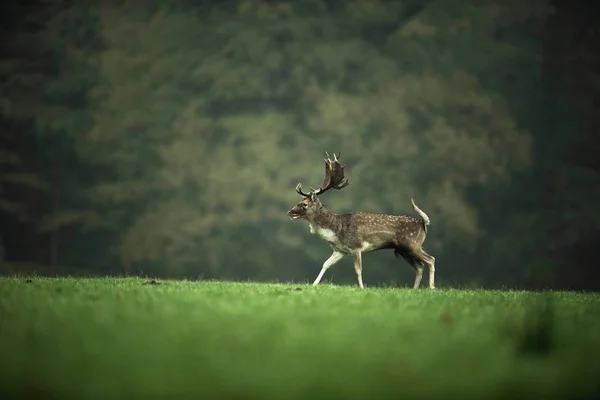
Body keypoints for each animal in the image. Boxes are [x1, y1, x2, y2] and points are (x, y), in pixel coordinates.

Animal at [288, 152, 436, 290]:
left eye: (304, 204)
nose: (290, 212)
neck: (336, 230)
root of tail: (423, 223)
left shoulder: (355, 246)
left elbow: (358, 270)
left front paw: (362, 288)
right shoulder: (340, 250)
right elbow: (325, 264)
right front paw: (314, 284)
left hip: (412, 244)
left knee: (430, 260)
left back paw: (431, 287)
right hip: (403, 249)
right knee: (419, 266)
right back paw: (415, 289)